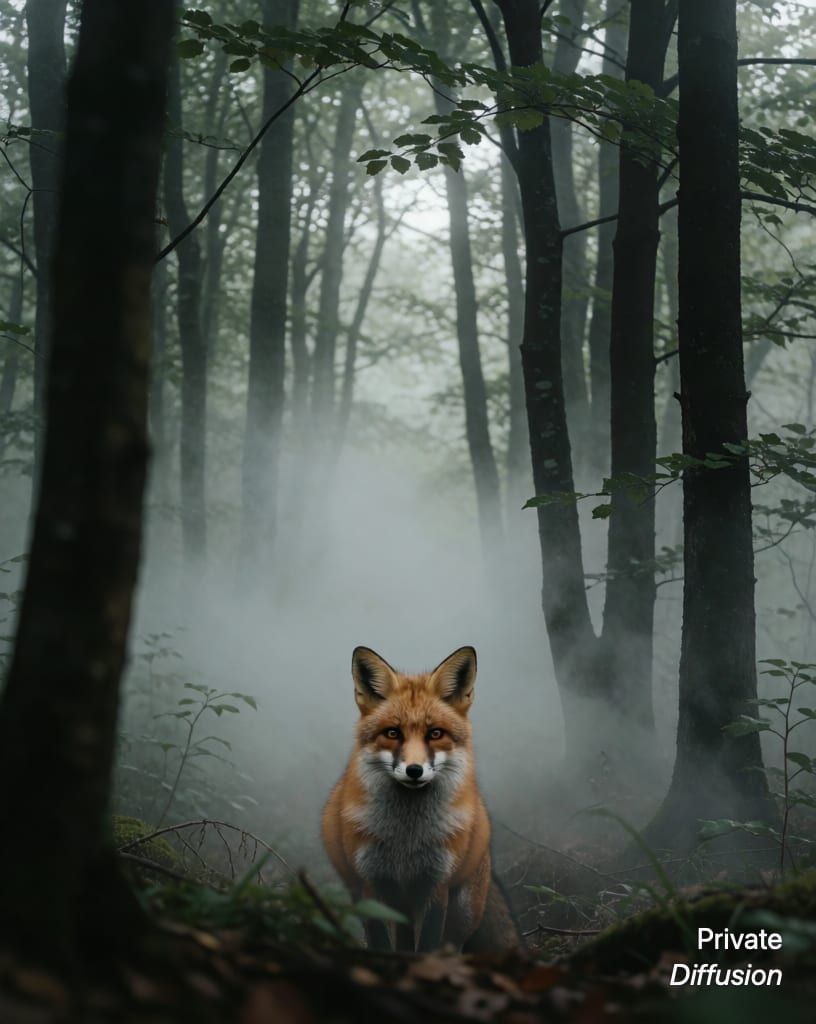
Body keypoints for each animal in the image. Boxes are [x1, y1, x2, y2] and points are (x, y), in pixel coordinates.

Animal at [322, 645, 520, 953]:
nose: (414, 770)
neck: (406, 839)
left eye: (435, 733)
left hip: (462, 911)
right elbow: (380, 942)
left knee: (452, 943)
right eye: (392, 733)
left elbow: (428, 944)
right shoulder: (371, 883)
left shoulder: (435, 885)